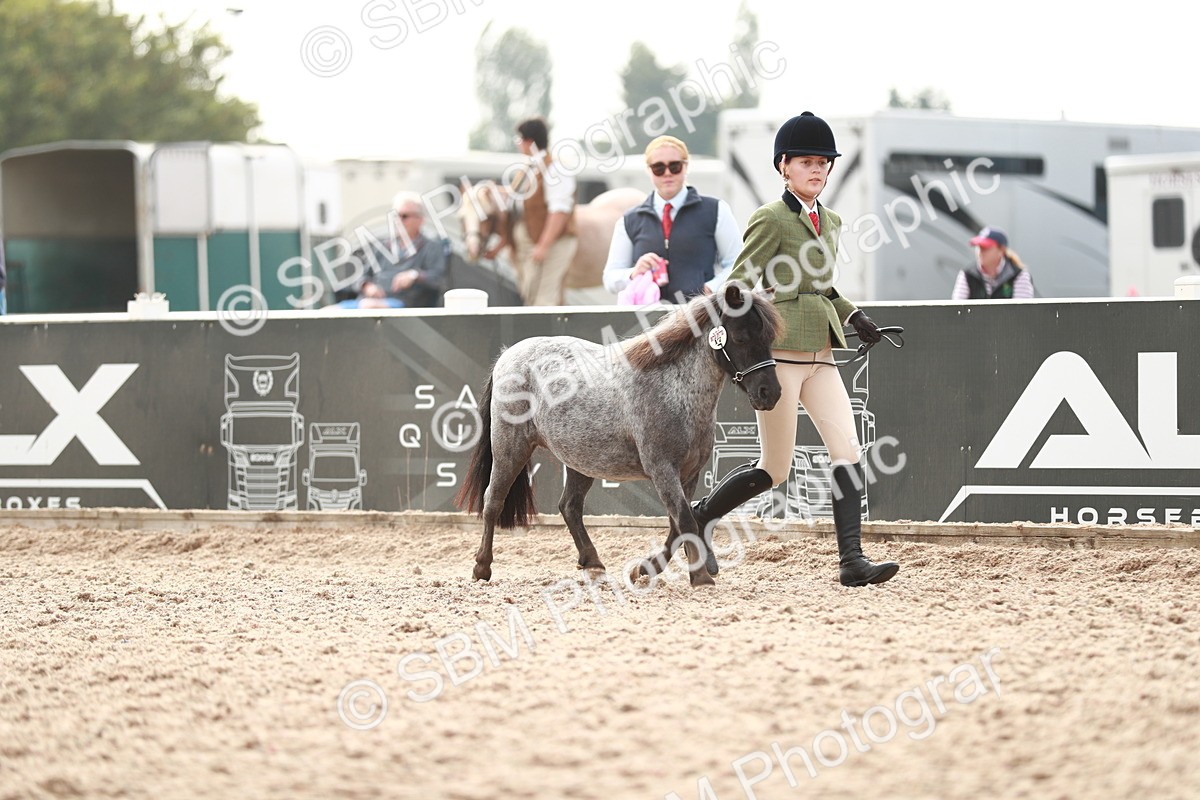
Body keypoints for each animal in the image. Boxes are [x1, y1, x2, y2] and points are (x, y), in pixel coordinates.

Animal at [454, 284, 783, 588]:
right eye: (741, 337)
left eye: (769, 339)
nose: (770, 393)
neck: (674, 389)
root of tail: (508, 356)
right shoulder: (662, 469)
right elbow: (685, 519)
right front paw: (700, 578)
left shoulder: (688, 474)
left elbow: (678, 524)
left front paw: (646, 569)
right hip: (510, 447)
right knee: (493, 500)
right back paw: (482, 568)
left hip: (580, 460)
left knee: (569, 507)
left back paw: (594, 565)